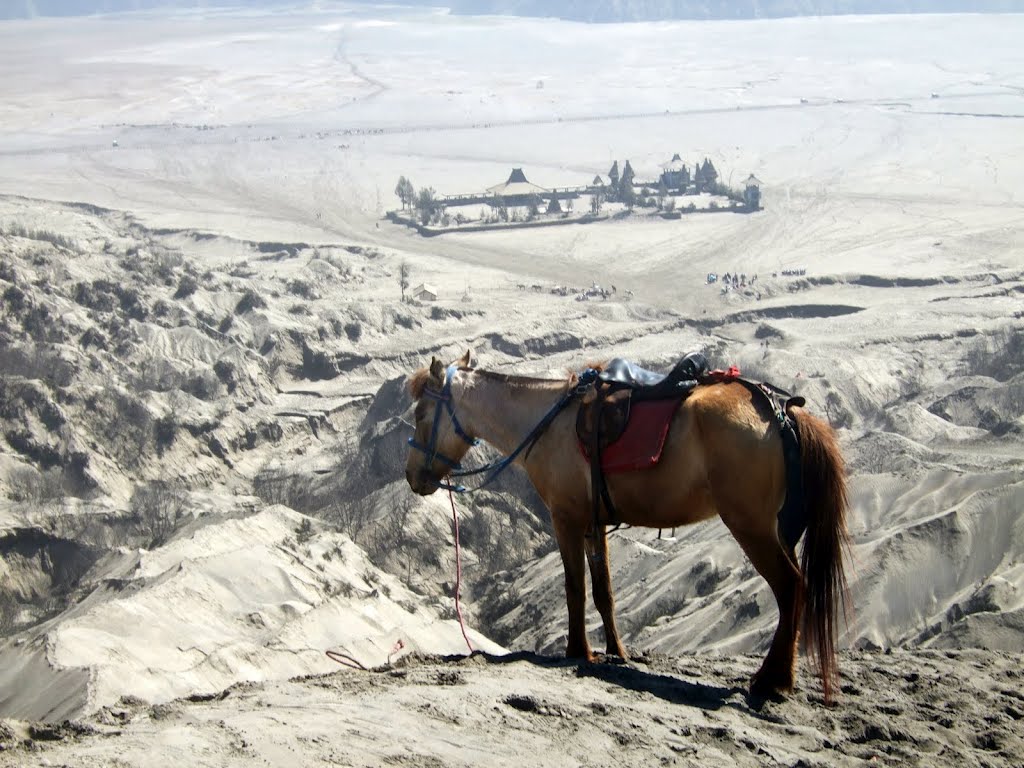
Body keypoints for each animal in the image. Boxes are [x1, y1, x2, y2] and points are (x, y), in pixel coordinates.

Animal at [403, 352, 851, 700]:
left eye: (422, 414)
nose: (412, 476)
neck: (548, 425)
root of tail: (782, 413)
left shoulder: (566, 519)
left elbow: (575, 589)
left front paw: (578, 651)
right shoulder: (594, 524)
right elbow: (604, 593)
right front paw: (617, 652)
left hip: (752, 528)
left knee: (790, 588)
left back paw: (771, 680)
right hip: (779, 530)